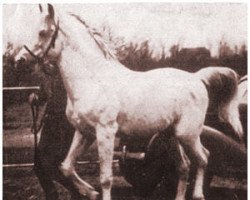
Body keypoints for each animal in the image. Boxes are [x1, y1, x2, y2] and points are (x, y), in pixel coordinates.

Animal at [7, 4, 242, 200]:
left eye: (42, 32)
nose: (19, 61)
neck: (94, 80)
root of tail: (197, 78)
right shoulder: (84, 133)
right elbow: (66, 167)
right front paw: (90, 192)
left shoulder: (106, 133)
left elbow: (106, 178)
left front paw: (95, 191)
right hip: (171, 135)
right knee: (183, 167)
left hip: (188, 134)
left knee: (203, 158)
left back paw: (198, 195)